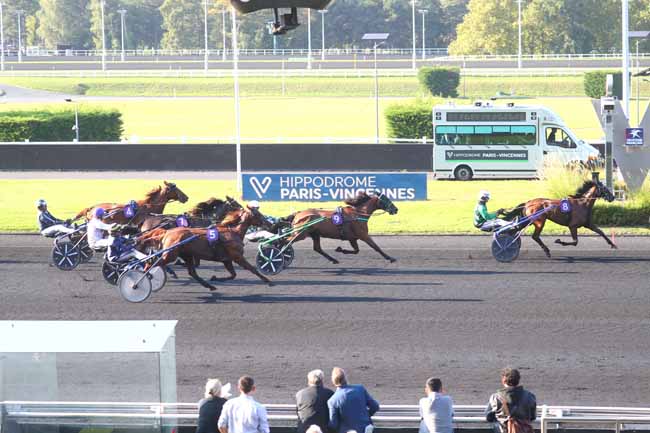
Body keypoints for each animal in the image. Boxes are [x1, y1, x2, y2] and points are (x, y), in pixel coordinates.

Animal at [142, 207, 274, 288]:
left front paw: (215, 278)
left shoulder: (227, 260)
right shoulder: (237, 257)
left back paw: (210, 286)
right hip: (170, 255)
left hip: (186, 255)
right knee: (151, 264)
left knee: (192, 272)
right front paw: (268, 281)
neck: (233, 232)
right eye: (258, 214)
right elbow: (252, 269)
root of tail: (167, 232)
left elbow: (233, 275)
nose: (270, 224)